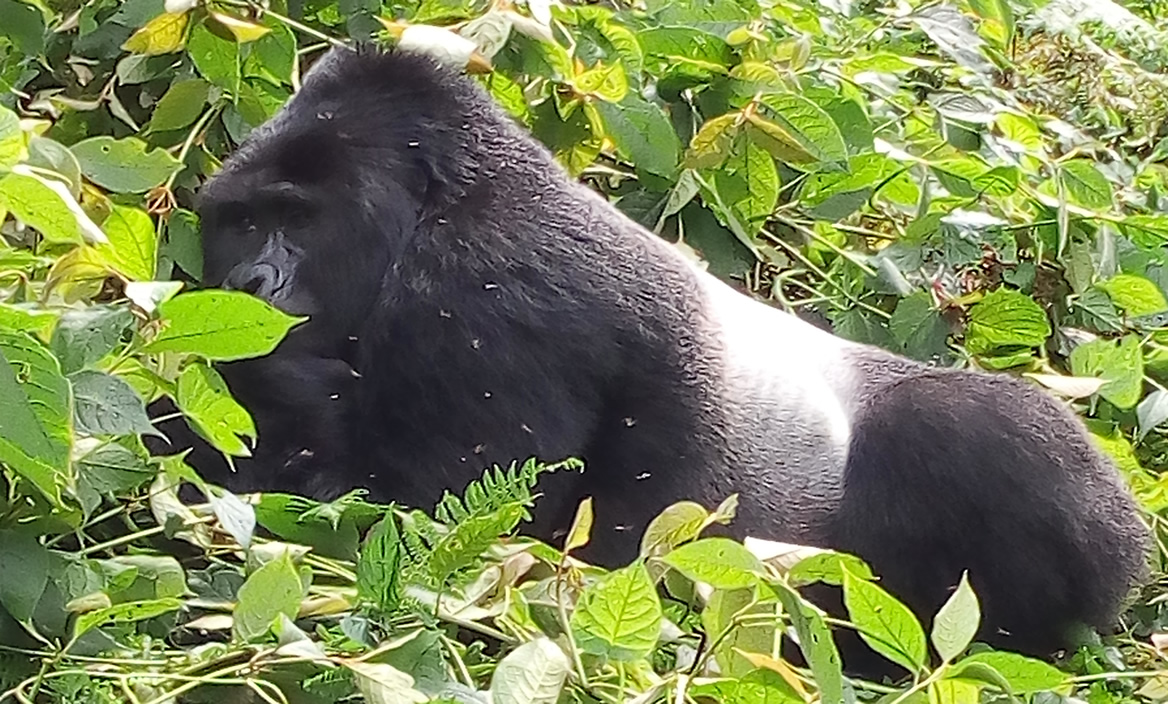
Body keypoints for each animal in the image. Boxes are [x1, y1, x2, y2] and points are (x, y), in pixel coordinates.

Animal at [175, 48, 1149, 667]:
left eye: (298, 219)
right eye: (242, 222)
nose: (253, 283)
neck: (442, 202)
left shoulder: (486, 288)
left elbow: (433, 526)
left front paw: (278, 382)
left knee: (963, 424)